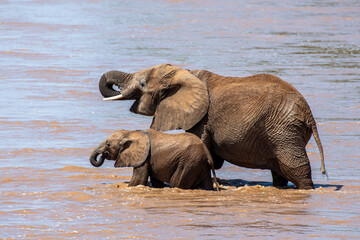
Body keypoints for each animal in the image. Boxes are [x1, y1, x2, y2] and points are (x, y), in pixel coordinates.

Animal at [90, 129, 219, 191]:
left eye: (108, 144)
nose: (103, 155)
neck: (130, 133)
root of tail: (207, 154)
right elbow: (156, 182)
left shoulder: (144, 157)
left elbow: (138, 180)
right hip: (200, 164)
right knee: (206, 183)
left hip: (188, 163)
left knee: (177, 183)